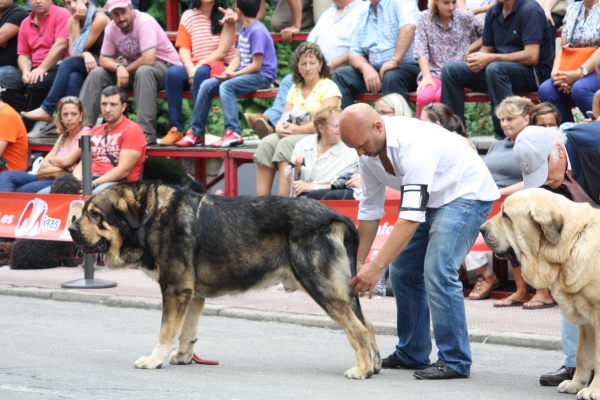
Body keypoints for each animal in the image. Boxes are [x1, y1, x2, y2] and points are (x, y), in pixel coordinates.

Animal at [69, 181, 380, 378]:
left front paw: (155, 360)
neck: (150, 215)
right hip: (340, 290)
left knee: (357, 328)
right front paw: (183, 357)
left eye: (95, 215)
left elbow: (166, 331)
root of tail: (339, 217)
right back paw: (374, 365)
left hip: (321, 286)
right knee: (368, 325)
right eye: (82, 212)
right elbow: (186, 332)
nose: (71, 229)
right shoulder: (192, 294)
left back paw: (362, 370)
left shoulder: (174, 290)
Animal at [478, 189, 600, 398]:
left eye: (505, 215)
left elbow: (598, 358)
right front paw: (576, 384)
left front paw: (595, 390)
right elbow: (582, 354)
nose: (481, 229)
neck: (570, 244)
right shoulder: (586, 322)